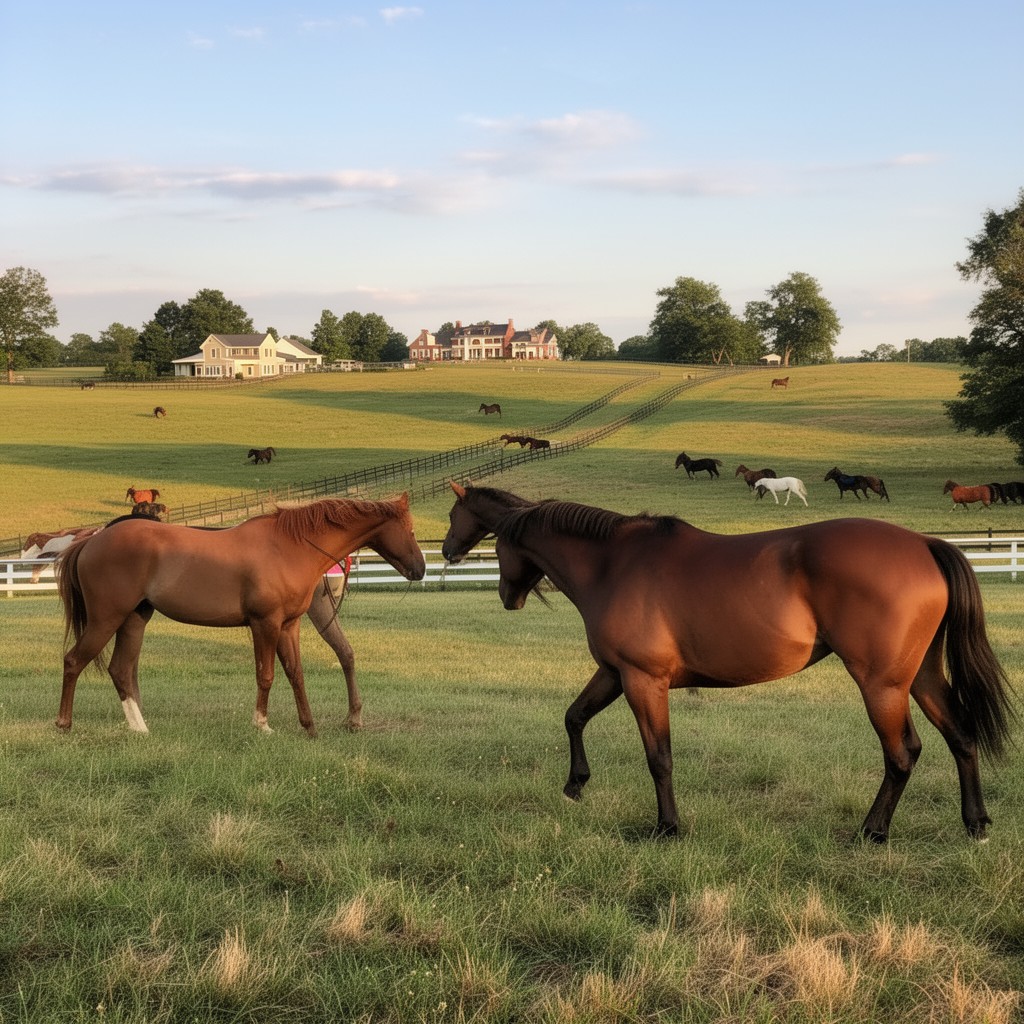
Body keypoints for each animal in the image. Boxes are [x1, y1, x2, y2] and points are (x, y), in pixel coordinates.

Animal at [55, 495, 425, 736]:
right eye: (410, 530)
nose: (420, 569)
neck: (290, 546)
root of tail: (91, 541)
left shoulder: (288, 626)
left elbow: (296, 674)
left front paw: (309, 727)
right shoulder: (266, 624)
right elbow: (266, 675)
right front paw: (262, 724)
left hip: (133, 620)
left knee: (120, 670)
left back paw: (140, 728)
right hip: (107, 619)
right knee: (74, 661)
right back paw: (64, 723)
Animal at [441, 482, 1015, 842]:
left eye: (454, 519)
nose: (446, 552)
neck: (611, 563)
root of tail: (924, 543)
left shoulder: (643, 681)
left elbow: (659, 757)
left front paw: (667, 827)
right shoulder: (614, 673)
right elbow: (574, 716)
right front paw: (576, 784)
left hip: (882, 685)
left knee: (902, 754)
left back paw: (873, 831)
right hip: (920, 675)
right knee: (960, 736)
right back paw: (976, 823)